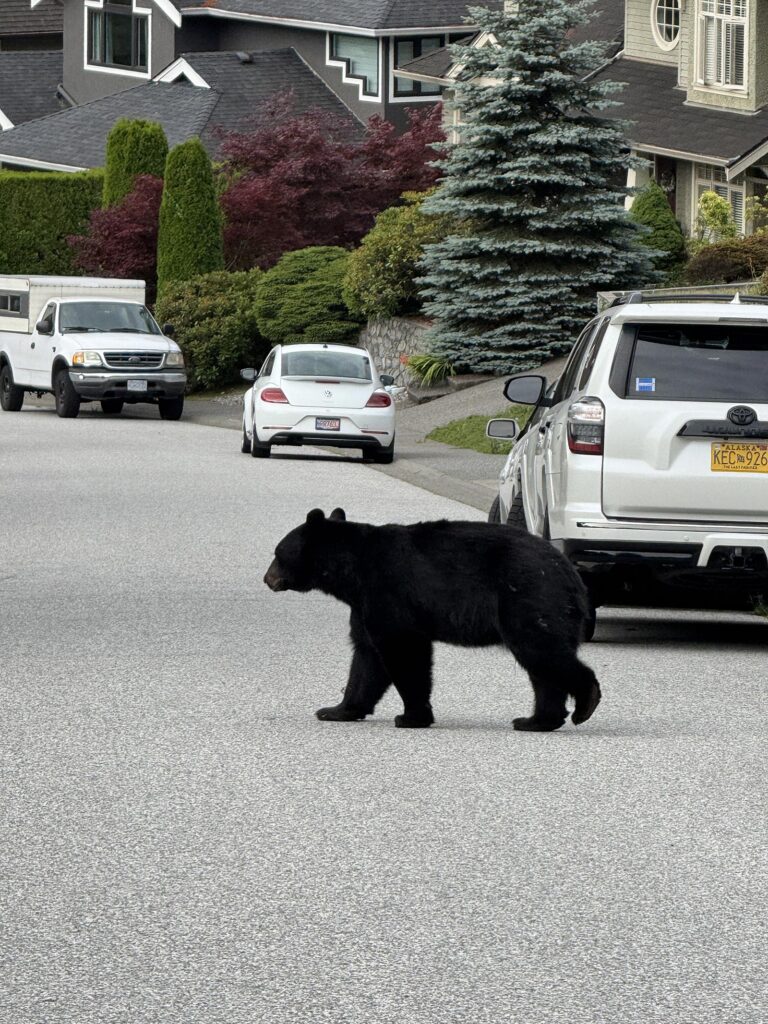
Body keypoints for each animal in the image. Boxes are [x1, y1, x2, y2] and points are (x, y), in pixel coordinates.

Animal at [264, 508, 602, 731]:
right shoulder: (364, 603)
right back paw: (537, 720)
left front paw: (412, 716)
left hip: (529, 597)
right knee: (543, 668)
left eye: (277, 553)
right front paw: (337, 709)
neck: (352, 569)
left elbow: (402, 649)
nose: (267, 579)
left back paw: (585, 703)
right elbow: (366, 655)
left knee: (541, 651)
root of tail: (571, 574)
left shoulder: (388, 590)